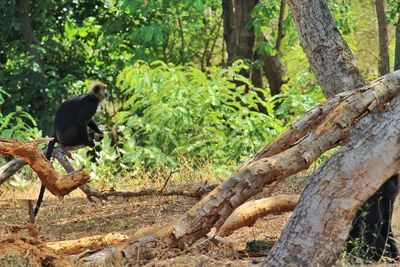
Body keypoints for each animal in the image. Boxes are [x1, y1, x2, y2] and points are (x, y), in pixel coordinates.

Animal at [34, 81, 106, 218]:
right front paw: (87, 141)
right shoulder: (89, 107)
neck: (91, 98)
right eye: (104, 90)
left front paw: (99, 132)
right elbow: (81, 122)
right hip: (65, 136)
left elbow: (89, 121)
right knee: (75, 126)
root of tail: (55, 133)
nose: (107, 93)